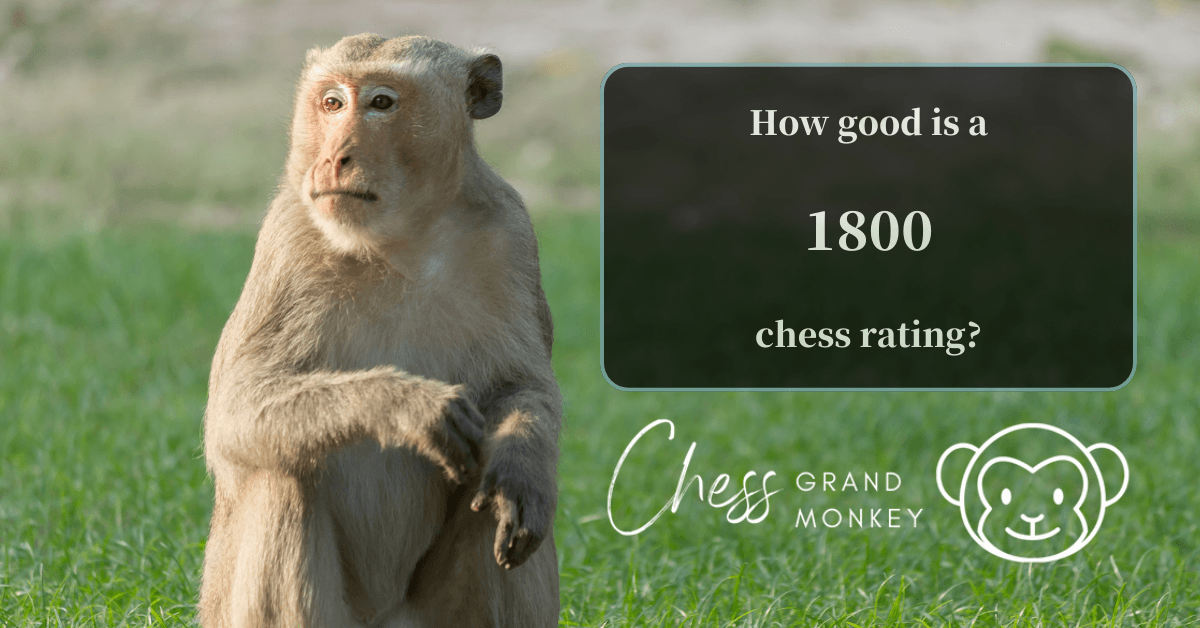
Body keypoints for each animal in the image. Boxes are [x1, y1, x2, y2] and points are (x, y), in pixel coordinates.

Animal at [197, 35, 561, 627]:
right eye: (332, 103)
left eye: (381, 103)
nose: (333, 158)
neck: (401, 240)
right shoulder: (287, 237)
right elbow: (234, 411)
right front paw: (406, 404)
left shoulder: (511, 233)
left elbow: (521, 388)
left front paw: (521, 465)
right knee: (283, 472)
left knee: (493, 507)